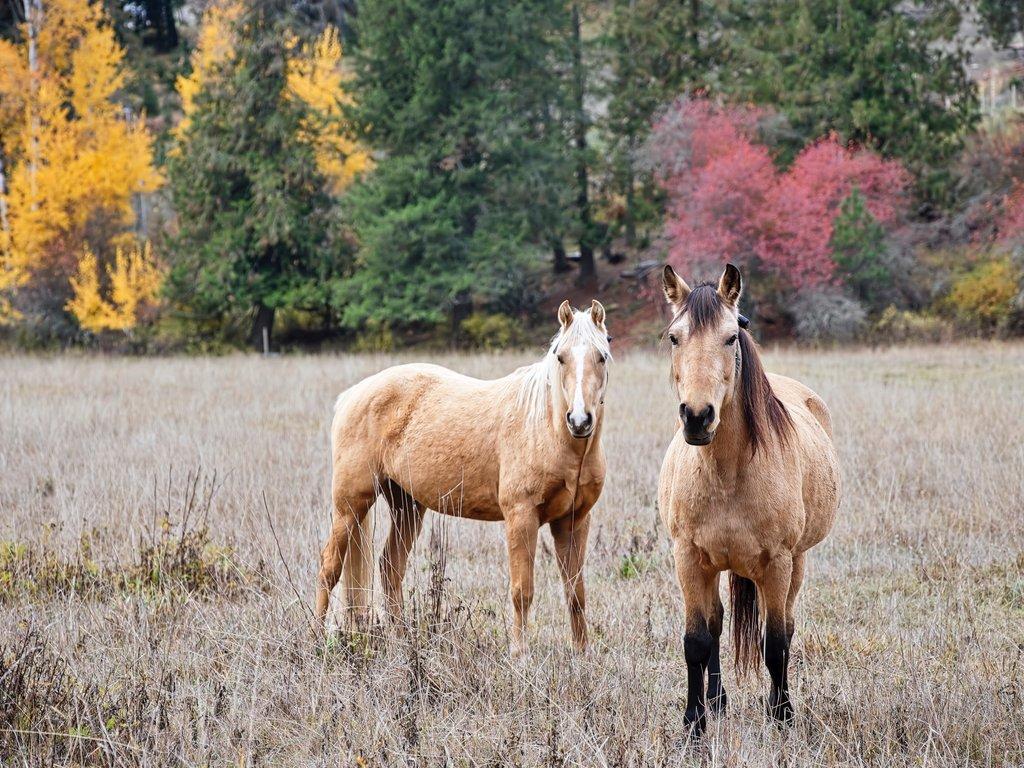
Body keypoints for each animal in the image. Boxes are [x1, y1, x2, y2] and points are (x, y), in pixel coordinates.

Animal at [315, 300, 612, 656]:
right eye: (561, 356)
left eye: (602, 355)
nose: (580, 420)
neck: (547, 429)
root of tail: (352, 395)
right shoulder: (521, 518)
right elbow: (522, 592)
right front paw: (519, 655)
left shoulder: (573, 521)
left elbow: (576, 594)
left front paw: (582, 656)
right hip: (350, 506)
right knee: (329, 568)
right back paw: (314, 640)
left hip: (406, 507)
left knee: (390, 568)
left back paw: (402, 642)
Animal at [657, 264, 840, 737]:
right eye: (674, 337)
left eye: (729, 337)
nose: (697, 416)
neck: (728, 473)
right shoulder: (689, 559)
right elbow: (697, 641)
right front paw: (694, 725)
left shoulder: (777, 563)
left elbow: (774, 643)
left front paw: (782, 716)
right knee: (717, 623)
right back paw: (718, 700)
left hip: (797, 562)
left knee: (785, 628)